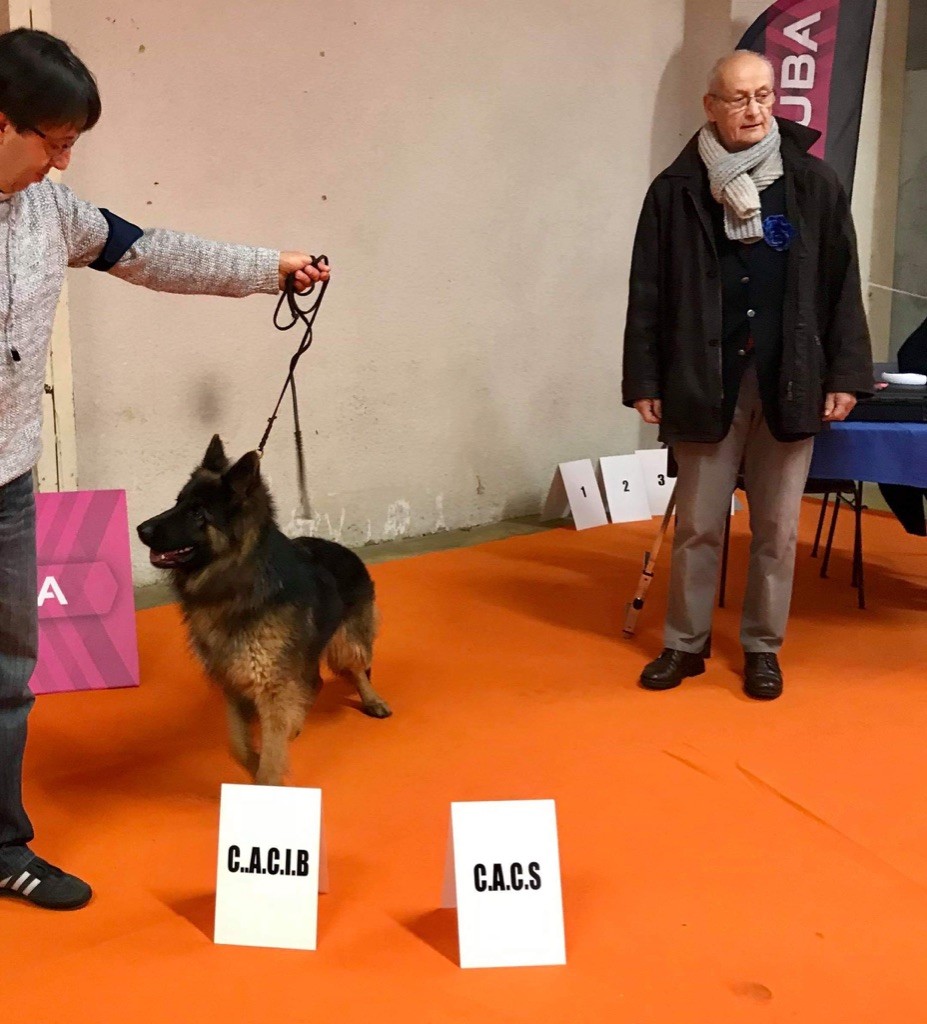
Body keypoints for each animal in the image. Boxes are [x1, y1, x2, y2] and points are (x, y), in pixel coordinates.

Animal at [135, 438, 389, 782]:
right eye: (178, 502)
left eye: (197, 511)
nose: (140, 529)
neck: (237, 581)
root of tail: (347, 552)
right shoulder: (234, 680)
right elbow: (238, 745)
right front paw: (257, 762)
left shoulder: (271, 685)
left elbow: (269, 753)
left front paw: (268, 775)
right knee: (315, 683)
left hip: (343, 644)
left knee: (356, 669)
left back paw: (371, 701)